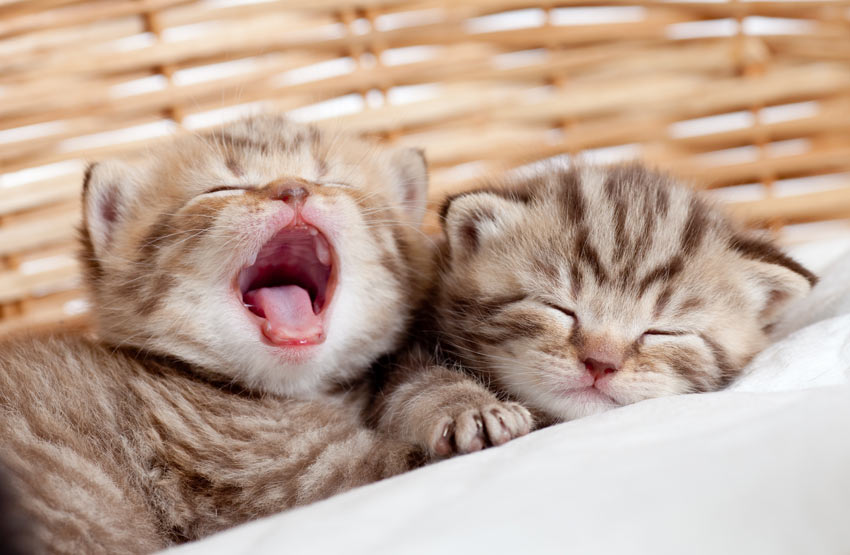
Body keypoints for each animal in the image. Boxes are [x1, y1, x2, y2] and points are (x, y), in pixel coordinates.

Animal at [372, 164, 816, 456]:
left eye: (662, 331)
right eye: (559, 308)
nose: (600, 363)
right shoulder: (406, 357)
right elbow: (419, 385)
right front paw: (473, 410)